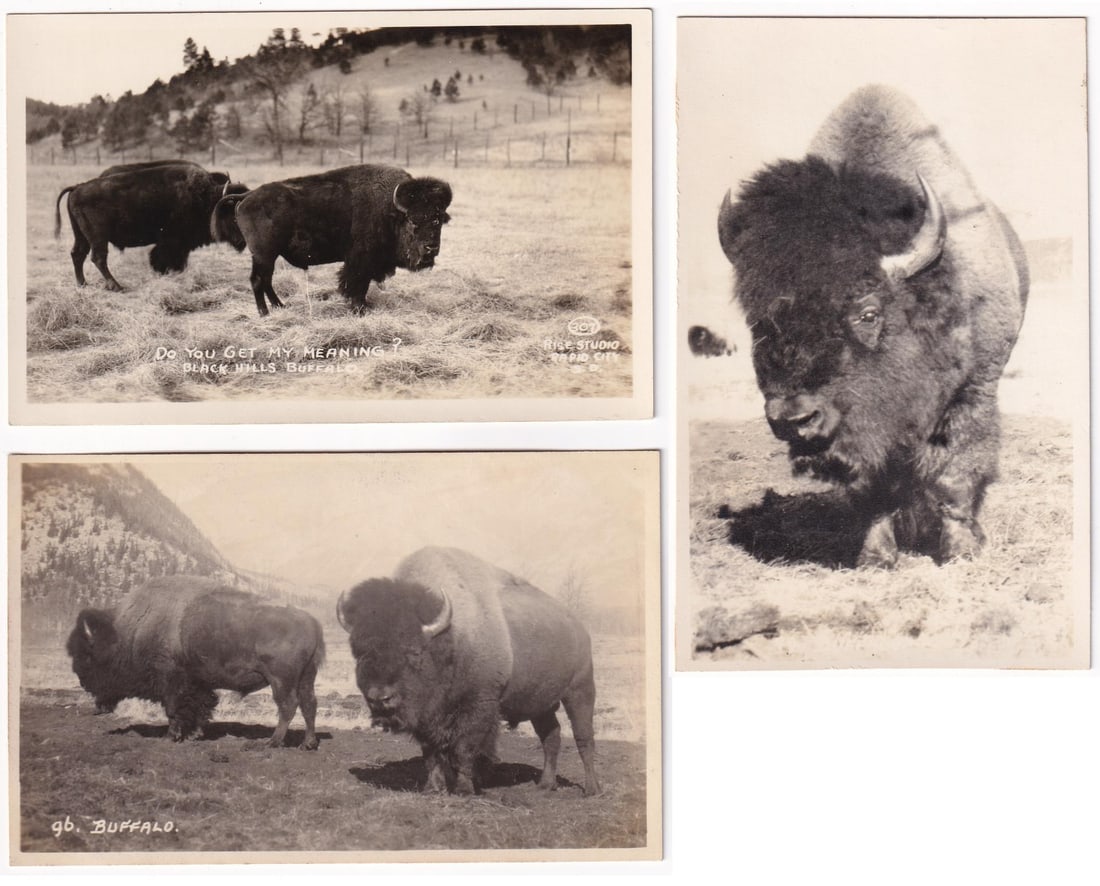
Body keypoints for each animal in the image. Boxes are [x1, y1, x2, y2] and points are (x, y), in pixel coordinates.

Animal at [55, 160, 248, 291]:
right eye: (233, 215)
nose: (244, 241)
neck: (207, 197)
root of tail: (77, 188)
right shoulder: (172, 241)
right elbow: (164, 257)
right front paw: (167, 272)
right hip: (98, 237)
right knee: (98, 258)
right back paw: (117, 286)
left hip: (81, 235)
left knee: (78, 254)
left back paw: (82, 284)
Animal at [66, 576, 325, 749]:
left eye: (88, 655)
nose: (82, 682)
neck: (128, 632)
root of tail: (312, 621)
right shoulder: (198, 683)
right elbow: (202, 707)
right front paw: (194, 735)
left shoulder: (171, 680)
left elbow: (174, 709)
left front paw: (171, 737)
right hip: (306, 677)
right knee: (309, 704)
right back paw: (308, 744)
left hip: (281, 680)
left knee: (288, 706)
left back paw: (273, 742)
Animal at [211, 164, 452, 317]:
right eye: (412, 220)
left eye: (438, 219)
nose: (431, 248)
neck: (390, 210)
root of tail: (246, 196)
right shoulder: (359, 261)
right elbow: (356, 284)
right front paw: (360, 309)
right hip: (263, 255)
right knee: (258, 281)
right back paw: (264, 313)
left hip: (268, 256)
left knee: (266, 281)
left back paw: (280, 307)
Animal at [337, 546, 600, 796]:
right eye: (360, 653)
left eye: (414, 651)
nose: (380, 698)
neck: (453, 639)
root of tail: (579, 628)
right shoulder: (428, 718)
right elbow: (431, 753)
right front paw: (433, 788)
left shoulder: (478, 706)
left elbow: (464, 749)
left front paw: (464, 789)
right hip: (541, 704)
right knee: (551, 737)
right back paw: (545, 785)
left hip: (580, 691)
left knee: (583, 737)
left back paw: (592, 789)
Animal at [716, 85, 1028, 568]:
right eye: (760, 319)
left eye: (868, 313)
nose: (794, 418)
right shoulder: (868, 436)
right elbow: (872, 490)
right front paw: (875, 557)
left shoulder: (974, 389)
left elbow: (956, 474)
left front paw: (960, 552)